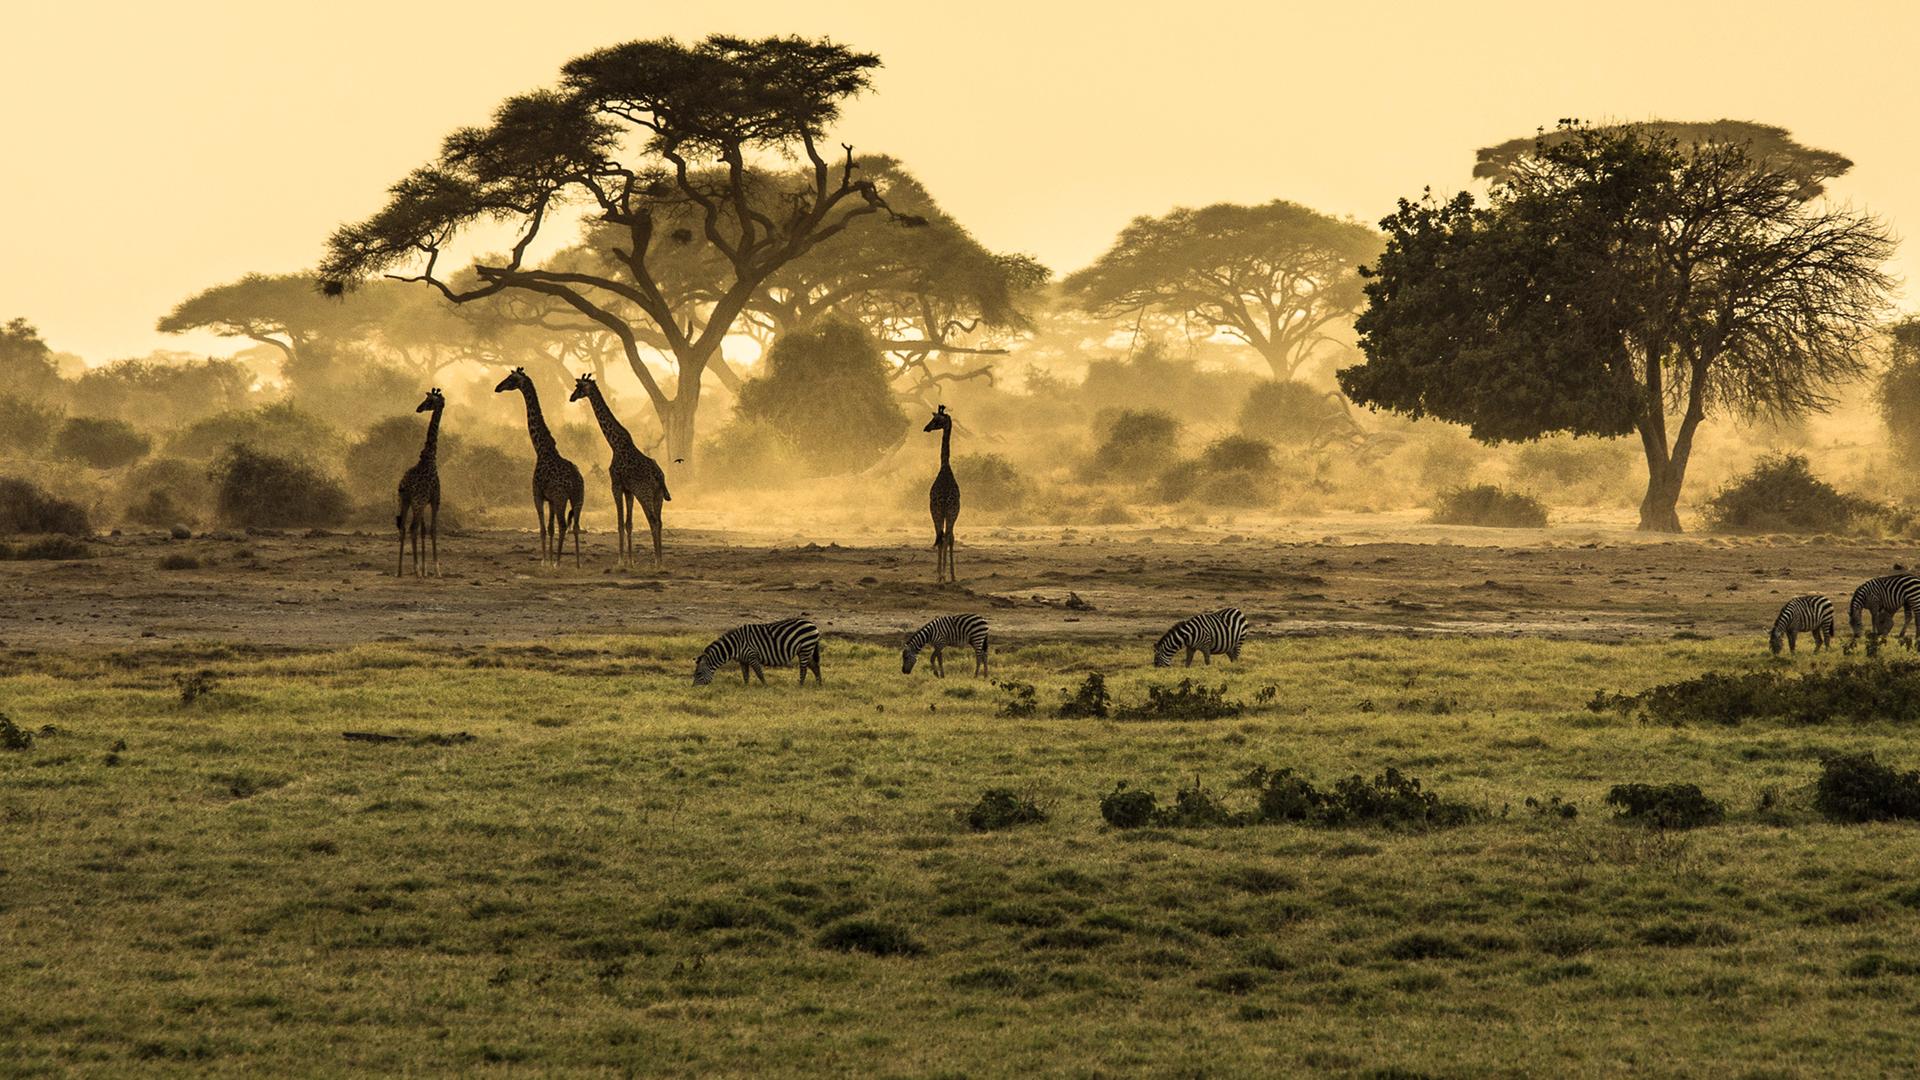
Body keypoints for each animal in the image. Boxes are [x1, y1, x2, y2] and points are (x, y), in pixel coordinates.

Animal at [693, 618, 822, 686]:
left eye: (698, 674)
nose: (693, 688)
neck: (735, 646)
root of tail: (811, 623)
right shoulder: (743, 660)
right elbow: (745, 675)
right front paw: (746, 688)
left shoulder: (752, 656)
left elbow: (759, 673)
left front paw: (765, 686)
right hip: (806, 650)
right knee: (815, 666)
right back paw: (818, 684)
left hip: (805, 648)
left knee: (804, 669)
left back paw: (800, 685)